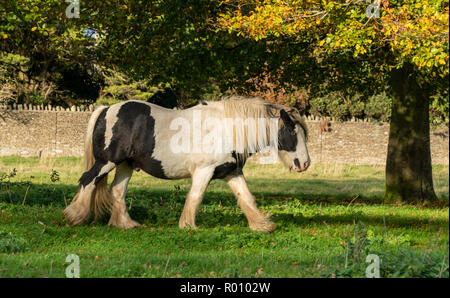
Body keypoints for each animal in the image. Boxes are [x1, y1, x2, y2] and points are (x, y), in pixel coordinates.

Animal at [63, 96, 310, 232]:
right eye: (292, 131)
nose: (305, 164)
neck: (227, 129)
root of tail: (106, 109)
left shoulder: (232, 172)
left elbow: (246, 198)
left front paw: (262, 225)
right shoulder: (204, 172)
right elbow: (195, 197)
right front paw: (188, 226)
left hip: (125, 165)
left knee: (117, 191)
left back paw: (125, 224)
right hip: (107, 161)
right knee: (88, 180)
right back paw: (74, 216)